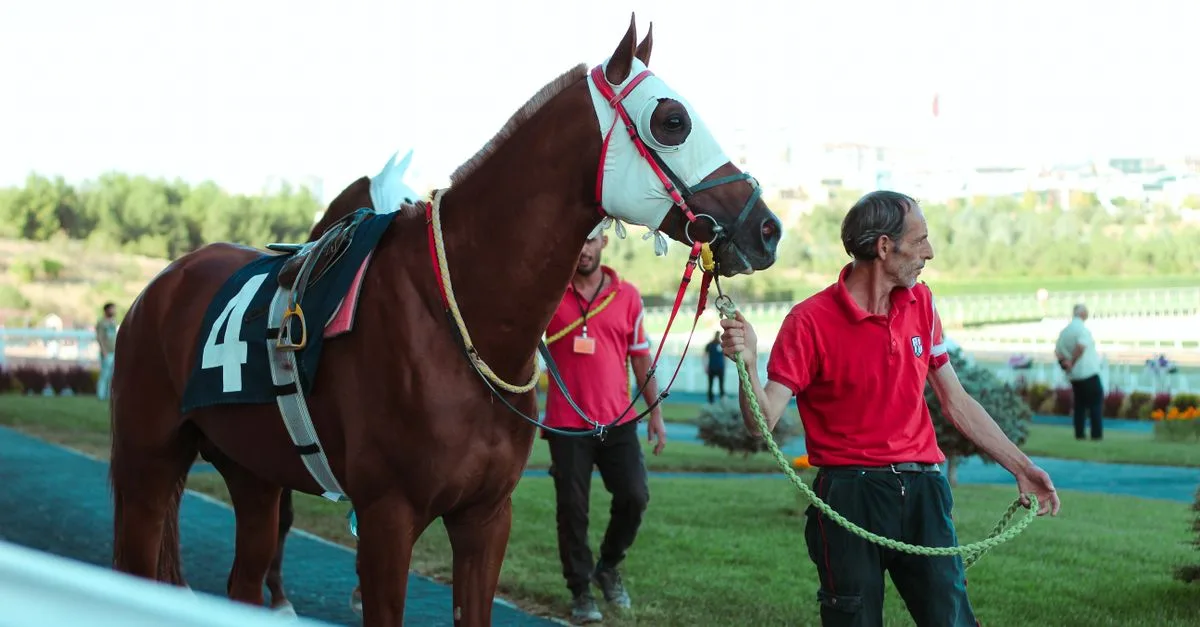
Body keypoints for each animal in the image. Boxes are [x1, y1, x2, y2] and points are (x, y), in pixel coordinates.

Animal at [108, 15, 782, 626]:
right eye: (672, 121)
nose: (766, 227)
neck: (459, 320)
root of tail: (163, 285)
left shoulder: (485, 517)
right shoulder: (386, 516)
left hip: (253, 474)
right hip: (146, 464)